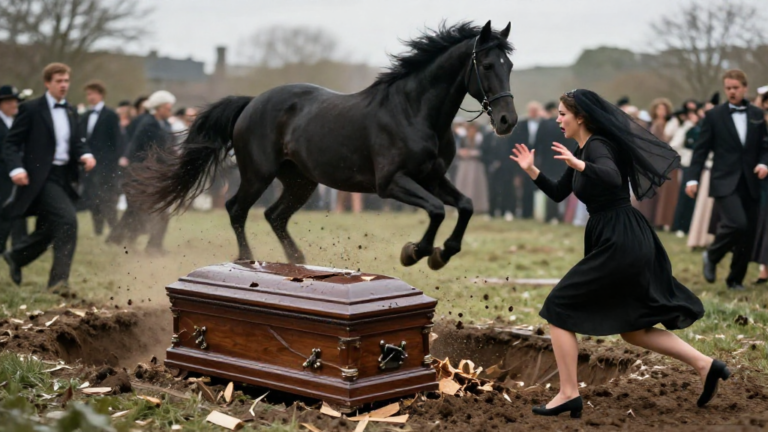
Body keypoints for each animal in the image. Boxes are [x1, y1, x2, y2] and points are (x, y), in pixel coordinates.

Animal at [126, 20, 518, 270]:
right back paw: (247, 259)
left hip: (301, 180)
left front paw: (442, 253)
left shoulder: (432, 178)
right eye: (486, 64)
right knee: (236, 208)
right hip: (258, 174)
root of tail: (251, 103)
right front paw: (415, 252)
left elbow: (465, 205)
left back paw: (297, 261)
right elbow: (437, 210)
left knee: (274, 215)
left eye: (510, 65)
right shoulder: (392, 183)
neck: (415, 111)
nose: (507, 121)